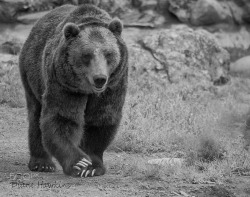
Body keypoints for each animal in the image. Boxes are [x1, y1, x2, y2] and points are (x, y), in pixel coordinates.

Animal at [19, 2, 129, 177]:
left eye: (108, 53)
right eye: (87, 55)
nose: (99, 78)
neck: (88, 90)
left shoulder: (113, 85)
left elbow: (101, 119)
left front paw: (92, 166)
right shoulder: (64, 83)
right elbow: (62, 118)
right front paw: (80, 163)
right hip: (32, 74)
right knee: (36, 115)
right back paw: (42, 163)